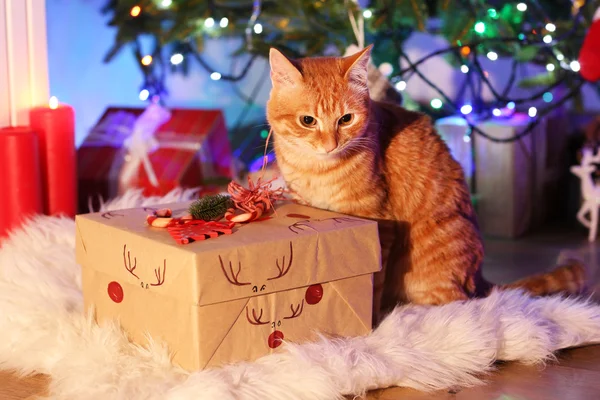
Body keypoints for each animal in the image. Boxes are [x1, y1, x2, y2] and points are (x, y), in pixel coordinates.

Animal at [268, 45, 584, 324]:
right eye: (307, 120)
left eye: (346, 119)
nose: (330, 145)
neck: (317, 169)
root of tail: (481, 278)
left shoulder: (379, 225)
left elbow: (373, 284)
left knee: (453, 302)